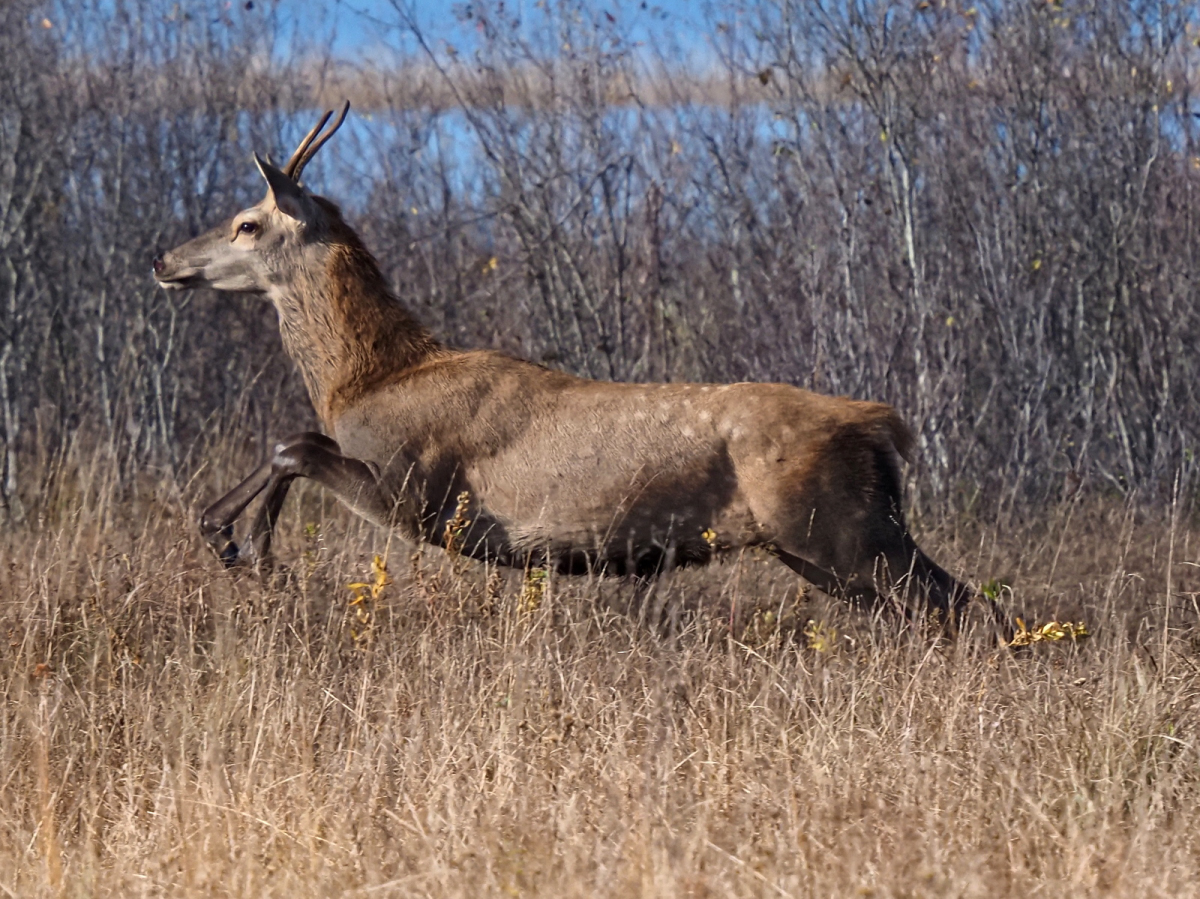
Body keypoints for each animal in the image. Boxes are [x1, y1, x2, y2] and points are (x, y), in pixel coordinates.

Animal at [152, 103, 1003, 638]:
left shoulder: (423, 494)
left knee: (973, 608)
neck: (367, 378)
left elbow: (291, 443)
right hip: (833, 541)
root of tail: (882, 425)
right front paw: (235, 539)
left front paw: (246, 546)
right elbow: (293, 438)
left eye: (247, 222)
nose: (164, 260)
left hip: (844, 528)